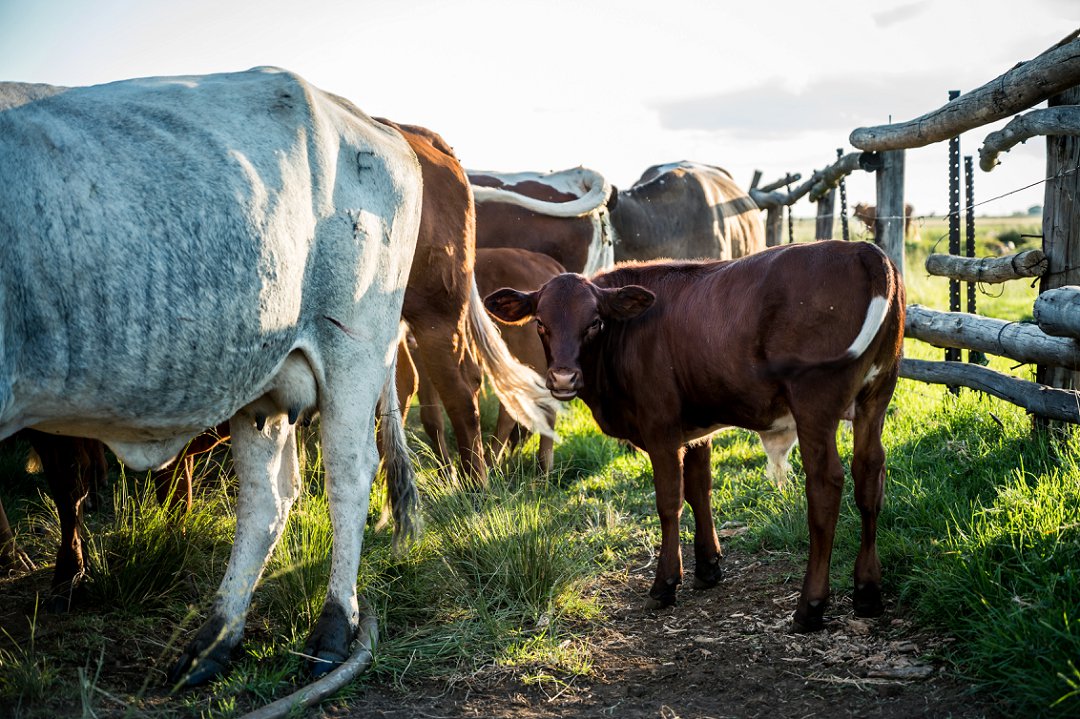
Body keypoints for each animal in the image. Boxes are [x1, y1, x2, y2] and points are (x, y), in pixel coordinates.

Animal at [0, 67, 423, 682]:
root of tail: (374, 124)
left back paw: (332, 631)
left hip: (354, 349)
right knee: (268, 499)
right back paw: (215, 640)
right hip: (263, 379)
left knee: (348, 475)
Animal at [486, 239, 907, 626]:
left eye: (594, 323)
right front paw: (708, 567)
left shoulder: (660, 429)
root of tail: (863, 249)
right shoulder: (696, 428)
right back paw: (867, 592)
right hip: (877, 395)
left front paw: (665, 583)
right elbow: (699, 490)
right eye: (541, 323)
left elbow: (669, 502)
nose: (562, 378)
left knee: (825, 485)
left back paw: (811, 606)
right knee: (869, 475)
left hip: (814, 402)